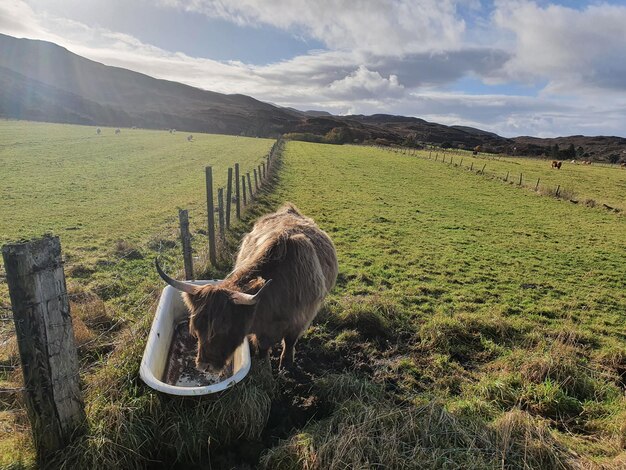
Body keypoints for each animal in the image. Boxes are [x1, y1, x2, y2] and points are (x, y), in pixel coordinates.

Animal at [158, 204, 338, 372]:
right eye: (196, 328)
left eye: (223, 328)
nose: (204, 366)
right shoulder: (261, 331)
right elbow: (263, 349)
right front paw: (266, 368)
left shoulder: (300, 321)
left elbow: (289, 343)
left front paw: (286, 365)